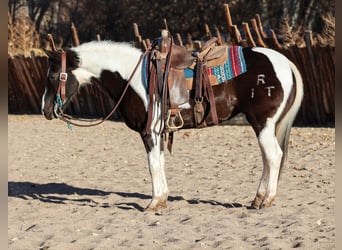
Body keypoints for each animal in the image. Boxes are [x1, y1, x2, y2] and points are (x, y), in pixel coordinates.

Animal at [41, 39, 304, 211]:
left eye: (53, 75)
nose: (45, 109)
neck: (132, 78)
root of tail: (285, 63)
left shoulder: (149, 131)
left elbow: (153, 164)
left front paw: (154, 203)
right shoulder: (158, 132)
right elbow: (160, 163)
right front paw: (162, 199)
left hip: (263, 124)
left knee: (273, 156)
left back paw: (266, 200)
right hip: (264, 126)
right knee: (268, 159)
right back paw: (258, 199)